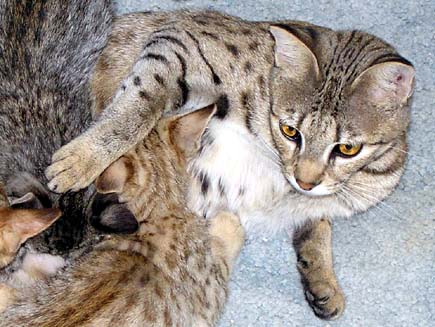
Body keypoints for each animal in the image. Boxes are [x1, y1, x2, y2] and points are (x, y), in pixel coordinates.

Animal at [45, 10, 416, 320]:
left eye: (347, 148)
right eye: (290, 130)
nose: (305, 181)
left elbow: (318, 223)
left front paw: (322, 278)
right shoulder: (180, 41)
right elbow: (138, 105)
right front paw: (83, 158)